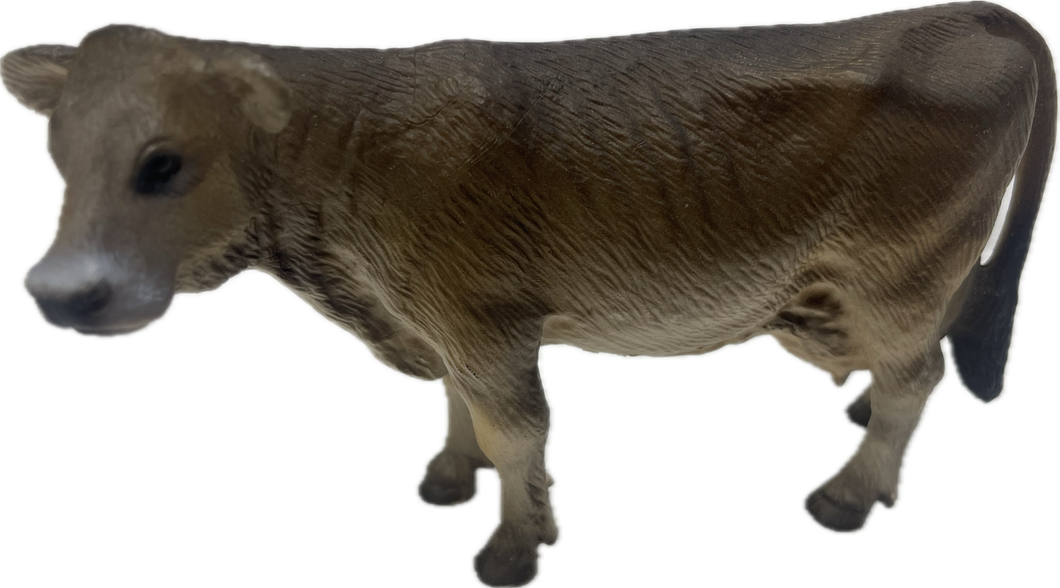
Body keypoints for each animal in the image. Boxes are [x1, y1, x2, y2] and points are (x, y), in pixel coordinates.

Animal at [1, 1, 1055, 585]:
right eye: (58, 153)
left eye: (163, 163)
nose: (57, 291)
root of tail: (977, 13)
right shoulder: (438, 320)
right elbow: (460, 406)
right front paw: (449, 477)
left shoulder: (481, 316)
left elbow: (516, 427)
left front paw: (513, 548)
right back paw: (862, 412)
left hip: (897, 269)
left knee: (920, 371)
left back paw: (847, 493)